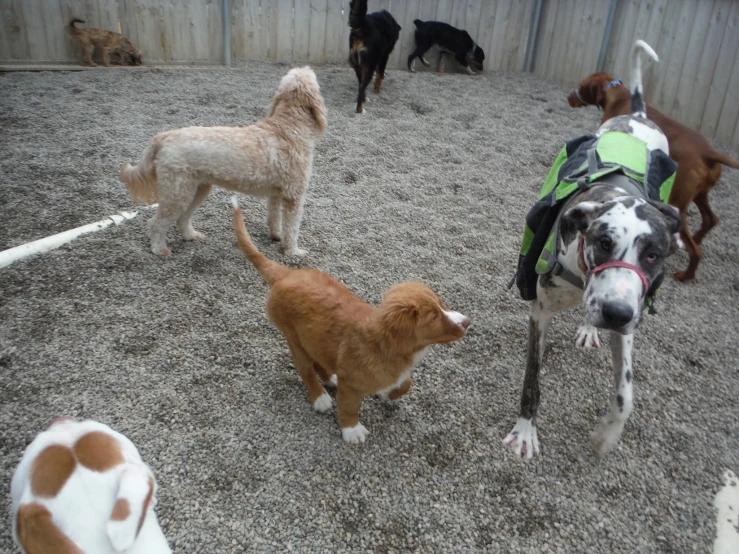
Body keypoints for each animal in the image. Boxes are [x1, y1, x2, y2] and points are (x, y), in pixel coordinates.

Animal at [121, 66, 326, 256]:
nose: (307, 67)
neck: (288, 127)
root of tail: (163, 137)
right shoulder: (294, 196)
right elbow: (292, 228)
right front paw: (294, 252)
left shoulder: (276, 194)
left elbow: (274, 218)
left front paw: (276, 237)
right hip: (177, 193)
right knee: (156, 223)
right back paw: (159, 249)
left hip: (197, 189)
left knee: (182, 219)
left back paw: (191, 236)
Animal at [231, 196, 472, 442]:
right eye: (433, 318)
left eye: (442, 304)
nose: (467, 321)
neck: (387, 345)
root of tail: (287, 274)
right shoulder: (351, 386)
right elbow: (349, 407)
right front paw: (351, 430)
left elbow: (406, 383)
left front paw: (387, 393)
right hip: (292, 336)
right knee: (305, 368)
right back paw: (320, 397)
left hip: (311, 336)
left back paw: (330, 378)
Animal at [506, 40, 684, 458]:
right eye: (604, 243)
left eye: (653, 255)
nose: (615, 313)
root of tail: (637, 114)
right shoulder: (540, 311)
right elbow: (531, 380)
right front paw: (525, 431)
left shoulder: (630, 319)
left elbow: (625, 395)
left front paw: (606, 435)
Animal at [568, 73, 736, 280]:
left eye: (582, 85)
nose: (569, 98)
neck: (619, 93)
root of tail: (709, 153)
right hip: (700, 195)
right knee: (710, 219)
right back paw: (694, 242)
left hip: (679, 201)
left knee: (697, 250)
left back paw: (685, 275)